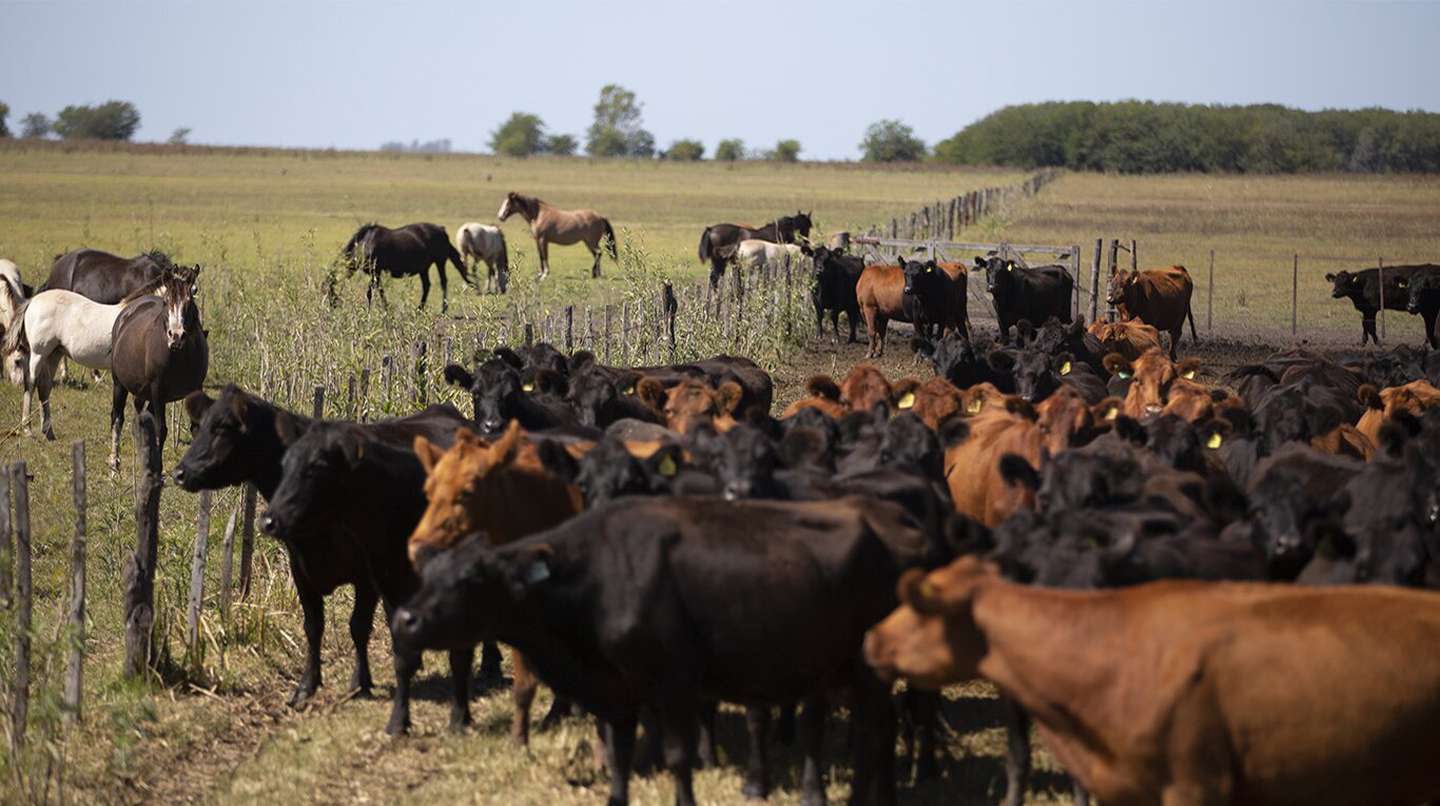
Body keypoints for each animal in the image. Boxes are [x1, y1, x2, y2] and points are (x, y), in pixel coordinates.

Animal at [109, 261, 207, 469]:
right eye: (167, 301)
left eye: (190, 299)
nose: (176, 336)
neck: (179, 355)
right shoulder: (158, 390)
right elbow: (161, 429)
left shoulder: (196, 388)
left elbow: (196, 429)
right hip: (119, 385)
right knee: (117, 418)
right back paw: (114, 463)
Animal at [167, 388, 472, 708]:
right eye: (197, 426)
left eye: (222, 427)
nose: (180, 473)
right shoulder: (300, 567)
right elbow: (313, 626)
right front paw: (306, 686)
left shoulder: (368, 572)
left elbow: (358, 625)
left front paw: (360, 682)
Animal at [342, 221, 472, 313]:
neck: (366, 243)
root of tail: (441, 230)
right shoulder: (375, 274)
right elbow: (379, 290)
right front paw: (384, 308)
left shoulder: (375, 272)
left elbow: (371, 292)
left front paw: (373, 311)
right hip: (424, 268)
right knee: (427, 285)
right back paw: (420, 309)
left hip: (440, 261)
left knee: (443, 282)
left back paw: (443, 309)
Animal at [388, 495, 927, 806]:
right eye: (429, 572)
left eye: (472, 578)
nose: (404, 619)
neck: (598, 577)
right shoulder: (616, 693)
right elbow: (620, 755)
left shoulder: (674, 686)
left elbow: (676, 756)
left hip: (867, 671)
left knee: (878, 730)